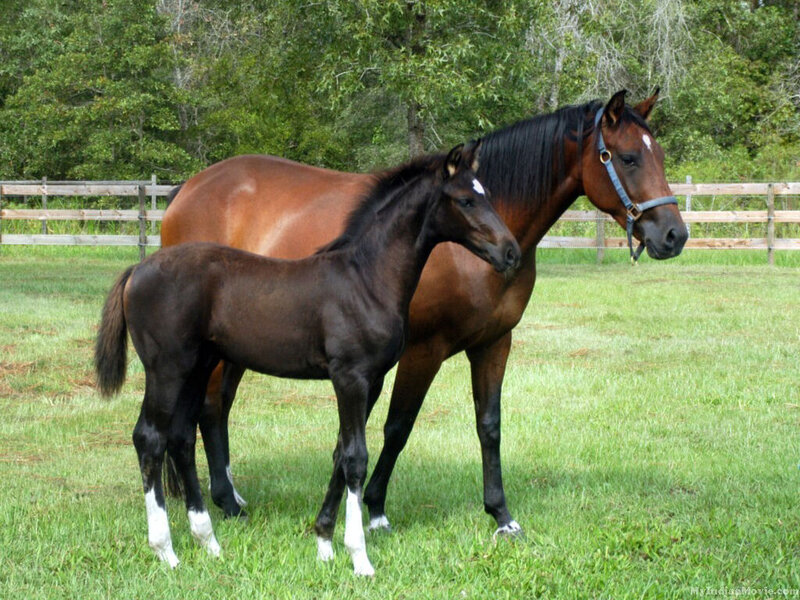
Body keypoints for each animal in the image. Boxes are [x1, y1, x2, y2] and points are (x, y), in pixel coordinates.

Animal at [94, 143, 521, 575]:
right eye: (466, 200)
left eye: (487, 193)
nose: (510, 252)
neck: (365, 279)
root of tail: (137, 270)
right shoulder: (350, 377)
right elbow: (355, 458)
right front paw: (358, 556)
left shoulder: (372, 380)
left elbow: (340, 454)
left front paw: (324, 543)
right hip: (167, 369)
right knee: (149, 437)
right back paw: (167, 549)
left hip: (197, 367)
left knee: (181, 437)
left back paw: (208, 540)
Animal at [161, 89, 687, 538]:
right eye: (628, 157)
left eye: (659, 155)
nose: (674, 235)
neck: (460, 244)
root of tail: (187, 190)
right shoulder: (422, 350)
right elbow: (397, 427)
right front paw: (374, 511)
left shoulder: (494, 344)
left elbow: (489, 426)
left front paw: (501, 515)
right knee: (209, 408)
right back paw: (222, 503)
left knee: (217, 409)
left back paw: (224, 498)